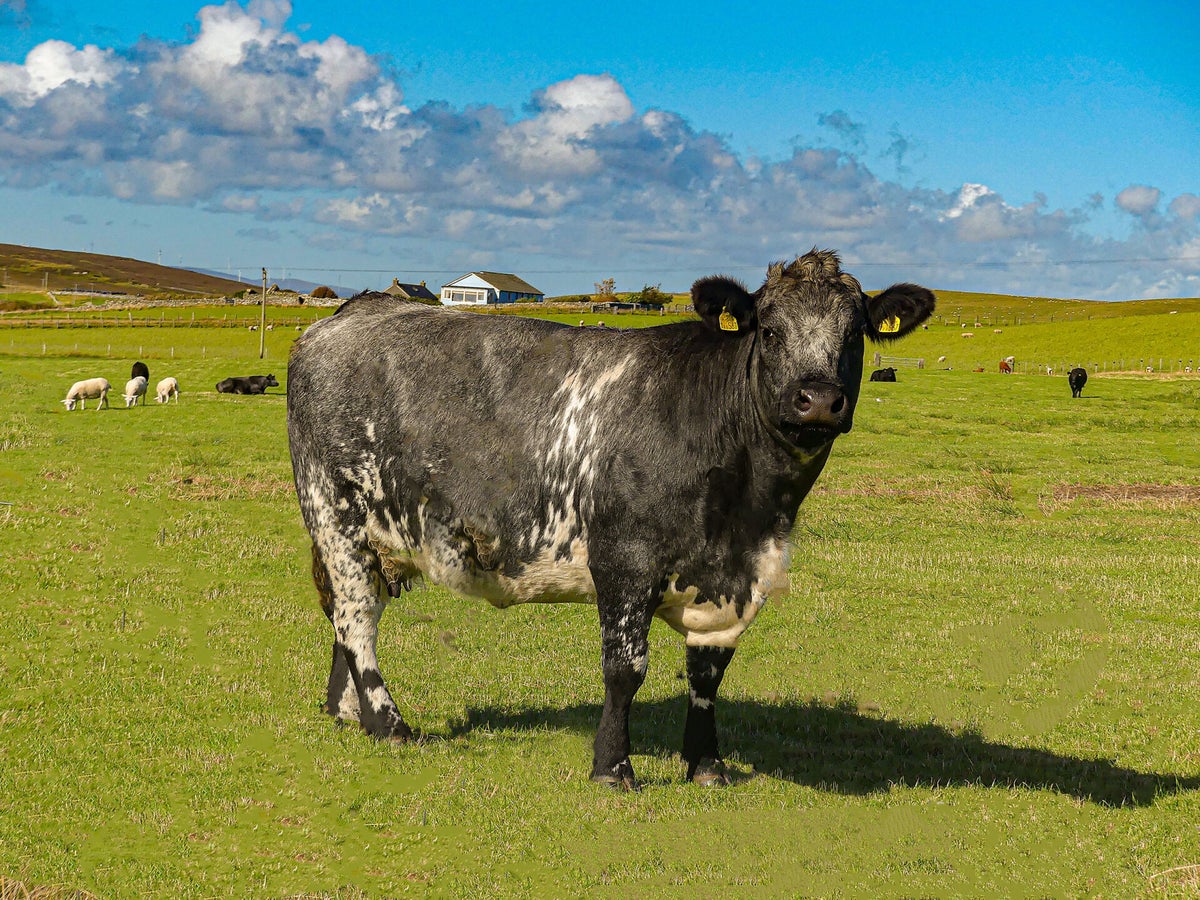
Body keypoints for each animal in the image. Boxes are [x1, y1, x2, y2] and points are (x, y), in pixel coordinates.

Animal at [286, 249, 936, 789]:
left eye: (854, 334)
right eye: (770, 330)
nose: (818, 399)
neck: (748, 510)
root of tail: (356, 310)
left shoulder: (735, 577)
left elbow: (708, 675)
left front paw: (706, 764)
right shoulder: (625, 560)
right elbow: (625, 669)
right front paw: (614, 767)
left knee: (348, 612)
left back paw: (345, 711)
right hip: (335, 516)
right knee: (357, 619)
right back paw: (388, 723)